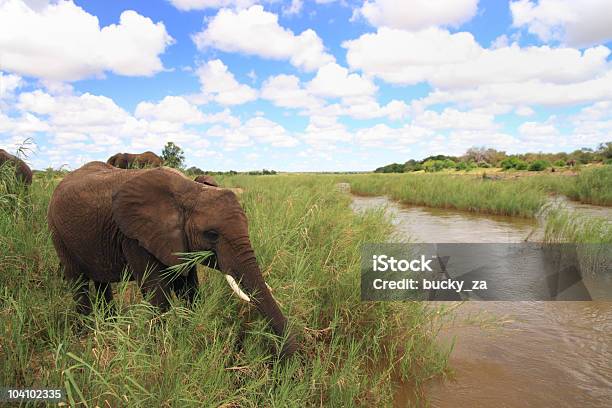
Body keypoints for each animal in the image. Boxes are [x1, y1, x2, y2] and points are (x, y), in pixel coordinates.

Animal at [47, 162, 296, 356]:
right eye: (212, 235)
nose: (283, 361)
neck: (189, 190)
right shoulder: (135, 238)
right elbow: (157, 294)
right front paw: (160, 351)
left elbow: (189, 288)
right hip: (58, 233)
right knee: (78, 281)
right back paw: (86, 334)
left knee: (101, 282)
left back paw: (109, 326)